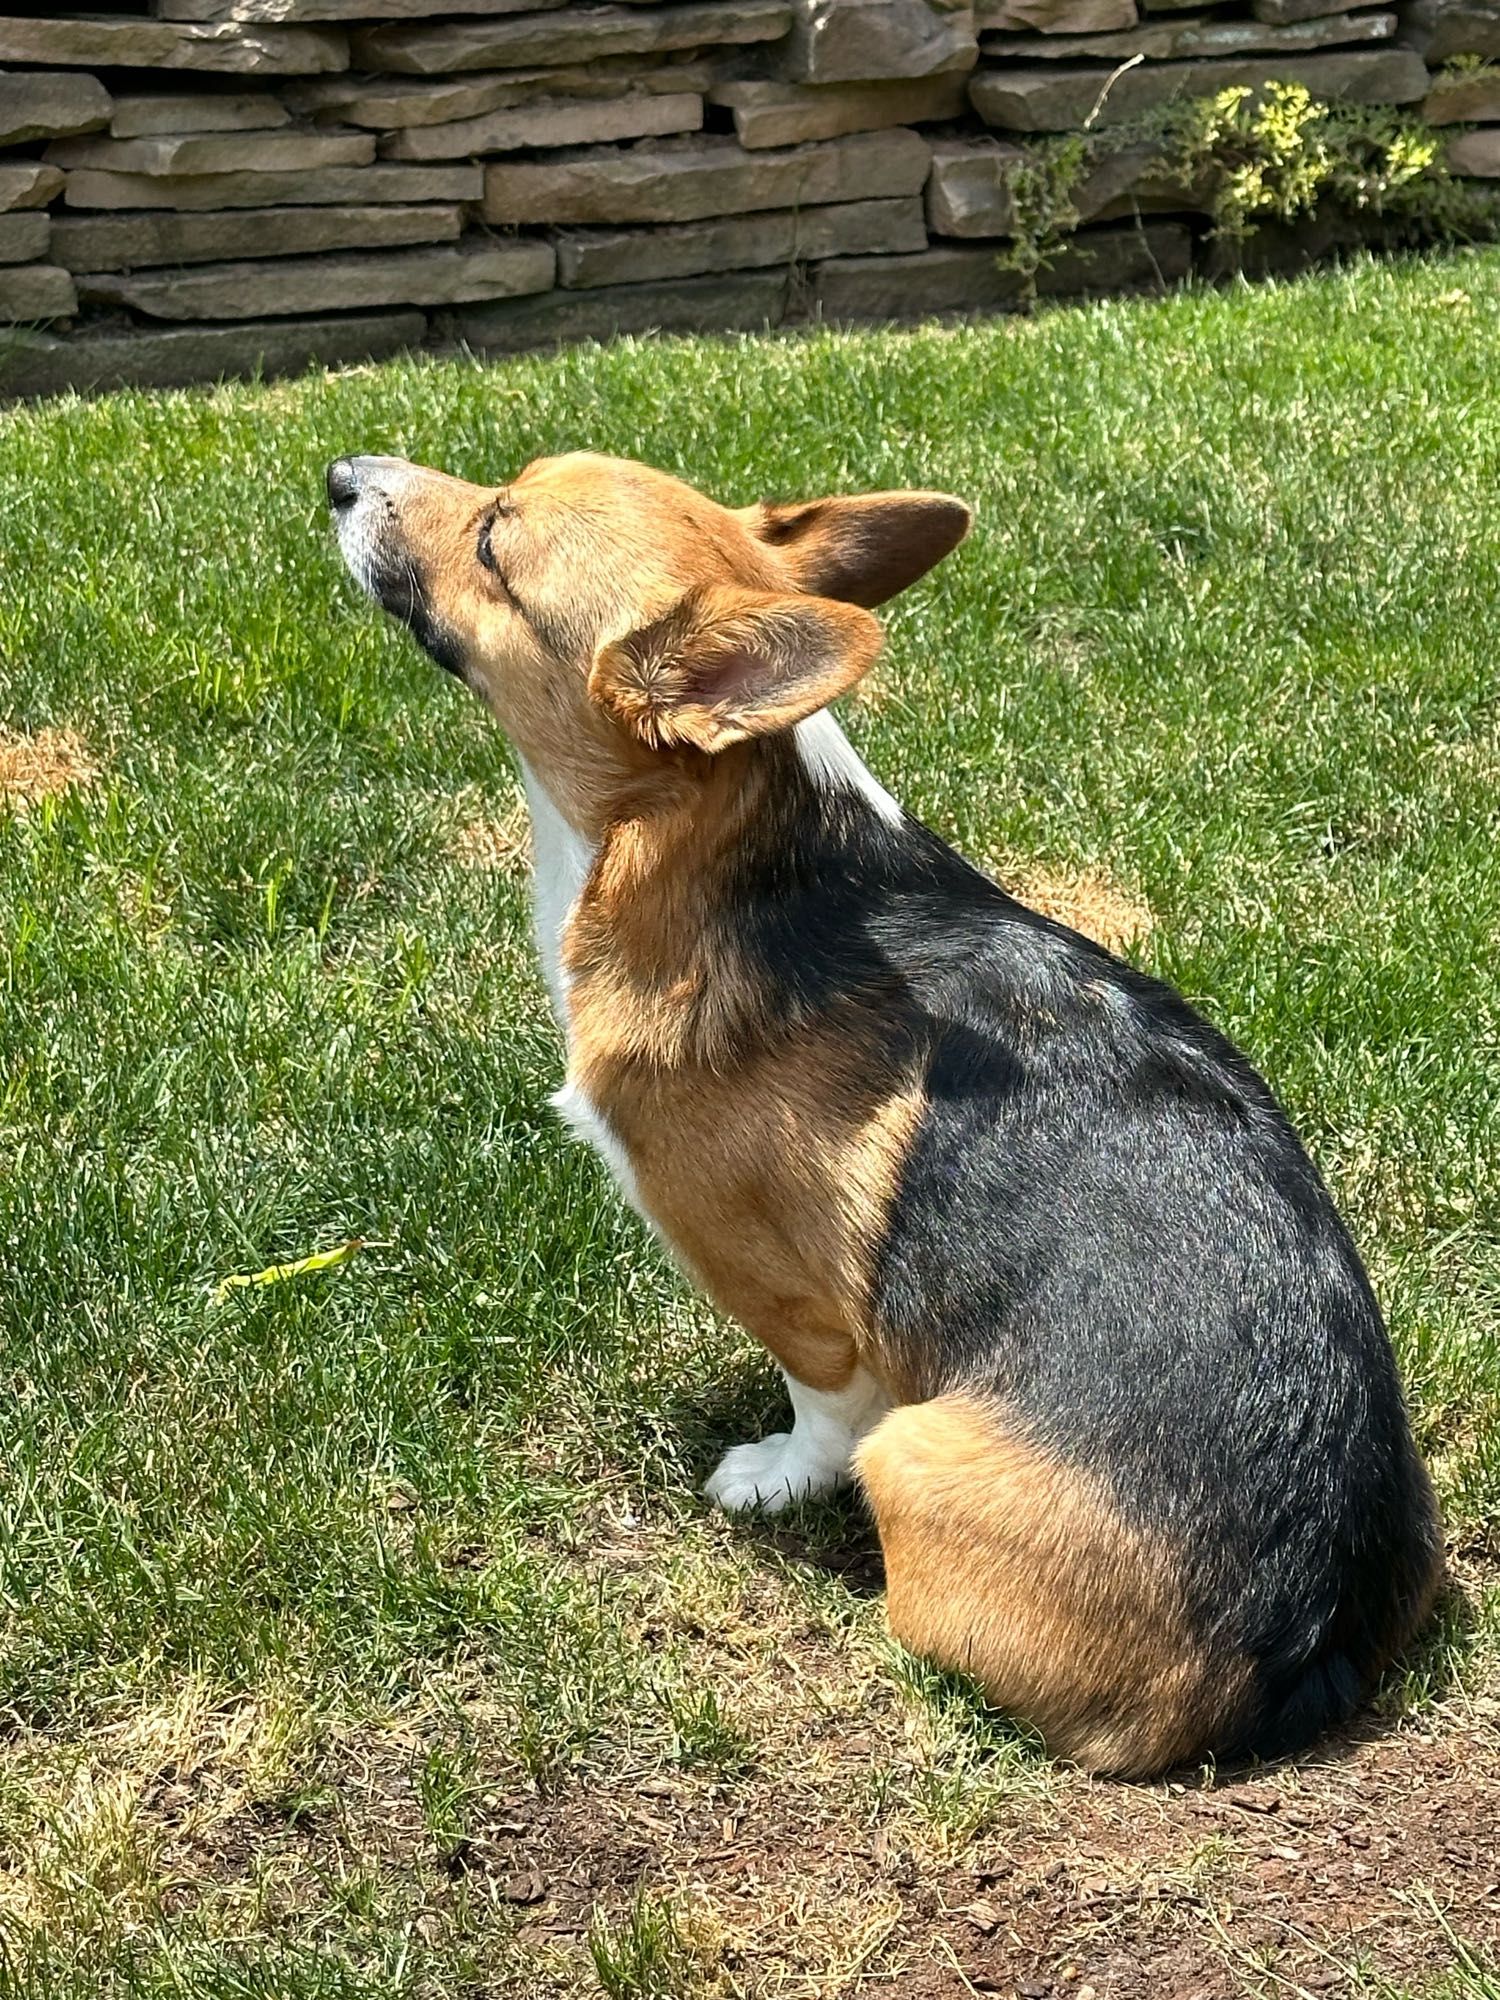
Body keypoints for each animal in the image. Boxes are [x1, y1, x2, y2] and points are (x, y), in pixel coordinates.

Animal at [332, 450, 1448, 1768]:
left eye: (495, 543)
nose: (344, 475)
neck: (692, 852)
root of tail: (1295, 1654)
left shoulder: (780, 1283)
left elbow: (819, 1395)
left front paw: (771, 1473)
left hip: (914, 1457)